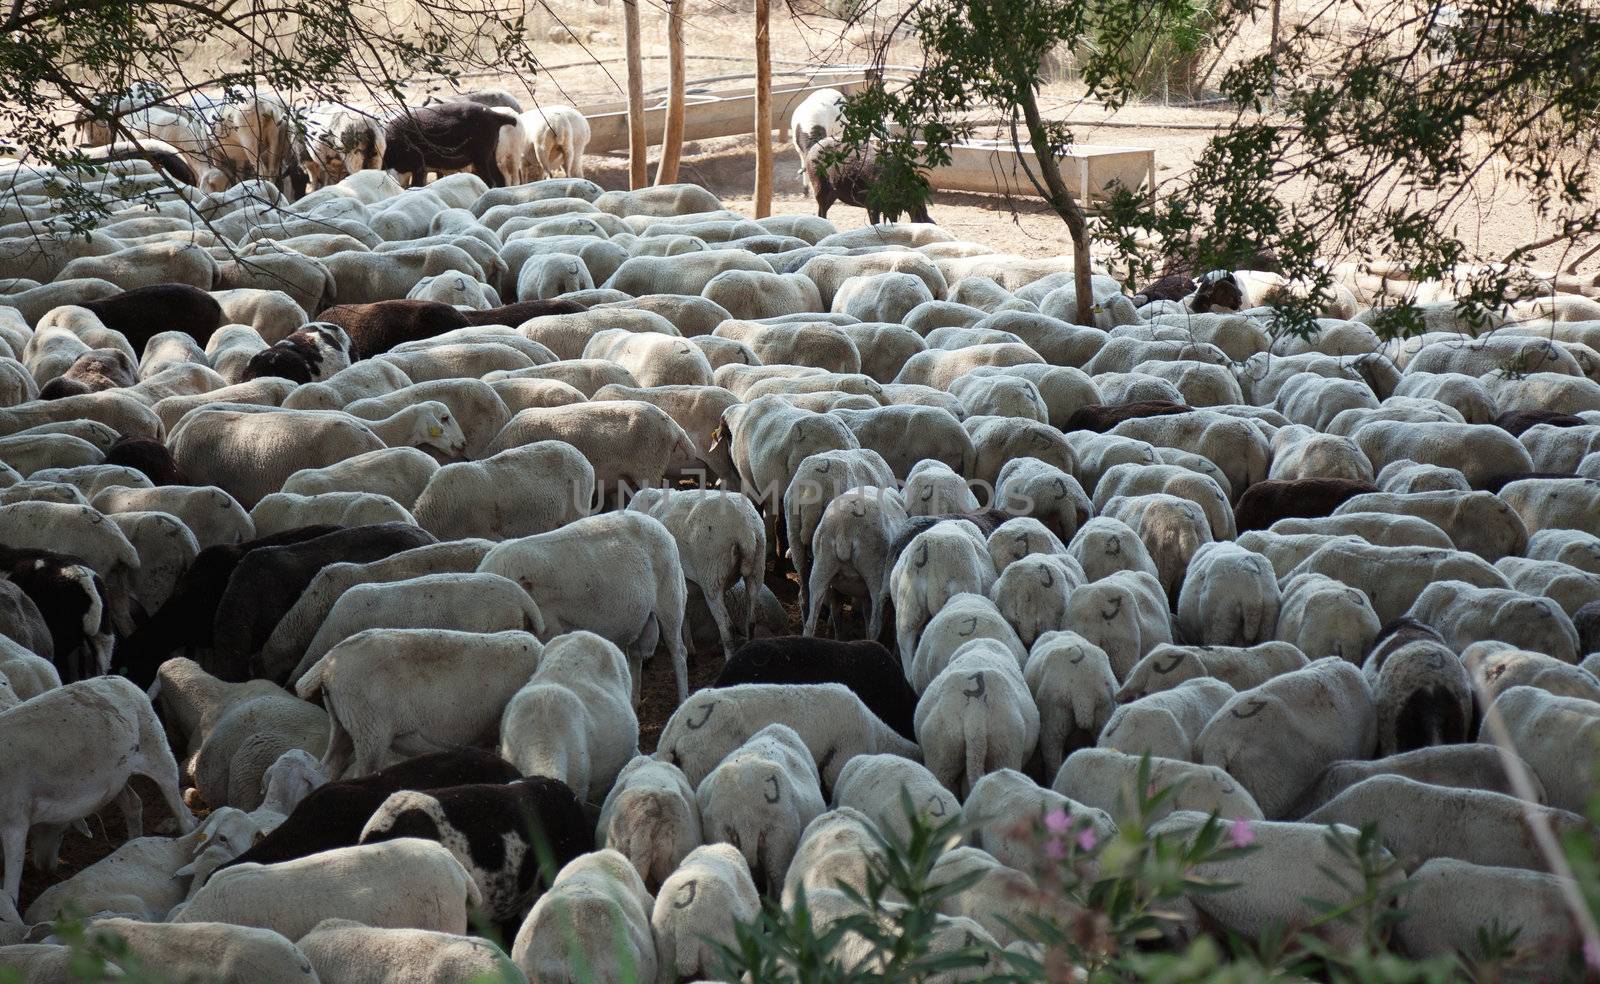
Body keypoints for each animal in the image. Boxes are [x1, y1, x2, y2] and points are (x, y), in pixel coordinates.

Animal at [806, 136, 934, 225]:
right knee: (822, 210)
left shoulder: (892, 209)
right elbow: (875, 223)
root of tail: (812, 149)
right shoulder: (871, 205)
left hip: (833, 193)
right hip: (819, 187)